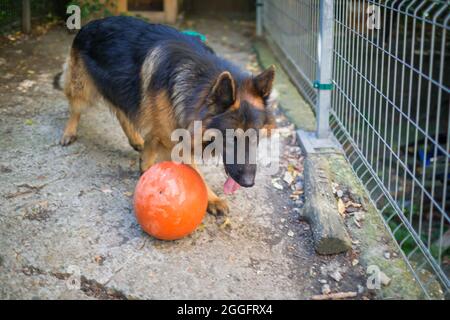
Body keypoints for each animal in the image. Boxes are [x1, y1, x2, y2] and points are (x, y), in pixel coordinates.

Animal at [56, 16, 274, 214]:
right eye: (230, 137)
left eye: (255, 136)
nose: (248, 183)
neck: (200, 82)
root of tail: (91, 23)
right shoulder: (170, 136)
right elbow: (189, 170)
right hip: (82, 88)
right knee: (75, 108)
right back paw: (69, 132)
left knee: (121, 113)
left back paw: (135, 139)